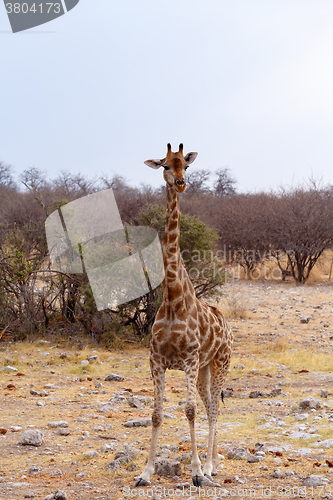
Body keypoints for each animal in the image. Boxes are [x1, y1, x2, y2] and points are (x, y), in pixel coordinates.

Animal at [134, 143, 231, 486]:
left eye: (185, 166)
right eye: (164, 164)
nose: (180, 183)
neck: (174, 298)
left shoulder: (188, 359)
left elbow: (189, 411)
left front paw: (197, 472)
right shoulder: (157, 360)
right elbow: (156, 413)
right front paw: (145, 472)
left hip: (219, 363)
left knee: (213, 408)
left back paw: (211, 466)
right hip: (203, 370)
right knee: (210, 404)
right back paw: (210, 463)